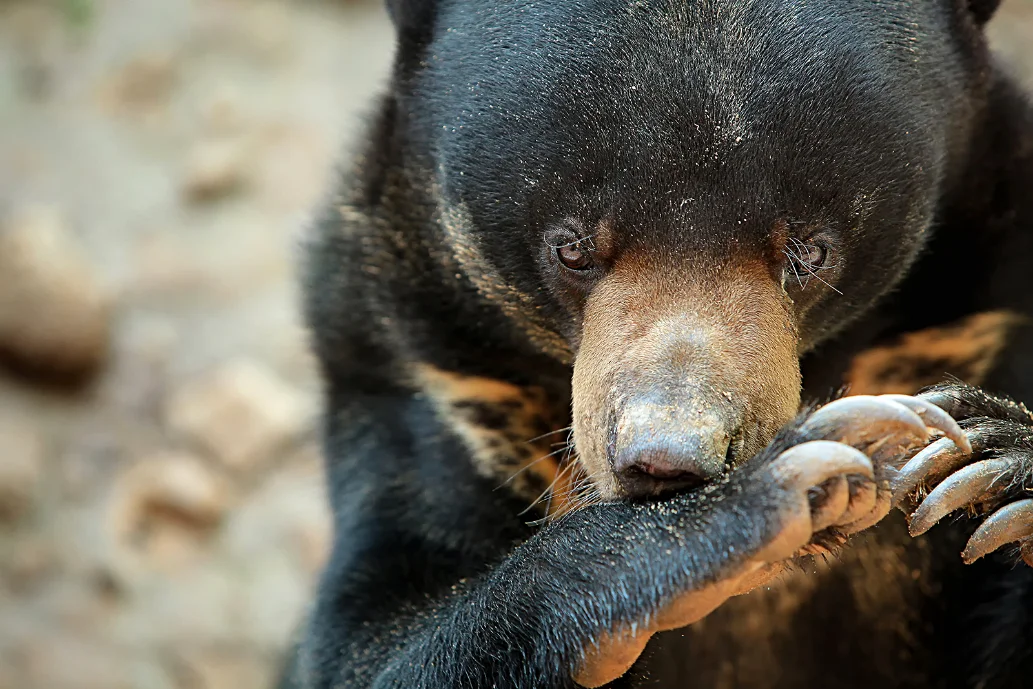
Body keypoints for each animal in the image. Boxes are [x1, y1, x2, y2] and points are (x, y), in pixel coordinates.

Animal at [281, 0, 1033, 687]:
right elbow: (366, 649)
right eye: (571, 248)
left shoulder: (981, 322)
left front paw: (983, 457)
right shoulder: (431, 374)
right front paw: (777, 491)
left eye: (809, 252)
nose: (668, 462)